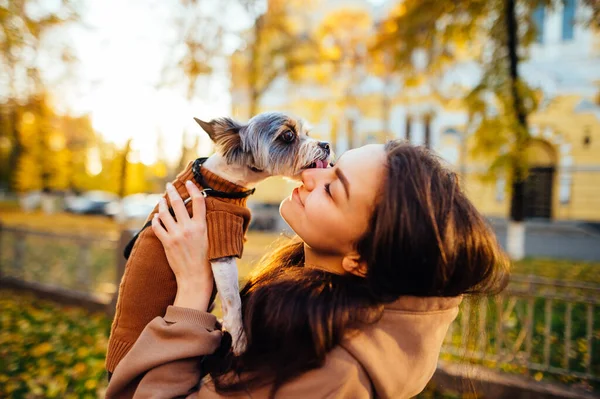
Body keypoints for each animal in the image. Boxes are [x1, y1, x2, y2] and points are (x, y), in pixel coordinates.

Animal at [108, 111, 332, 370]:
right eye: (288, 136)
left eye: (308, 133)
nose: (326, 145)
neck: (219, 183)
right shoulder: (222, 241)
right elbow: (233, 300)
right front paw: (239, 339)